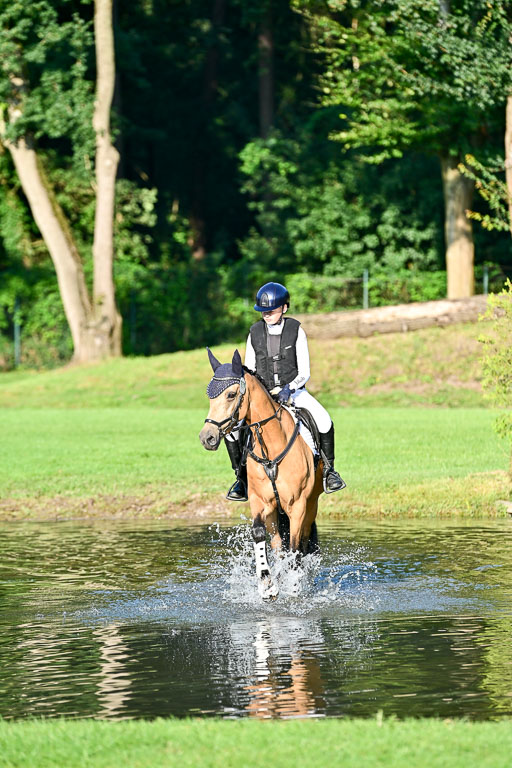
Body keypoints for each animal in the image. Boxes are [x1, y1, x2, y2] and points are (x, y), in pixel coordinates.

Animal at [199, 348, 324, 600]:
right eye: (209, 397)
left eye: (231, 394)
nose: (207, 437)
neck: (271, 446)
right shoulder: (260, 501)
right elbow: (259, 534)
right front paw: (267, 584)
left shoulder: (298, 505)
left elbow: (295, 546)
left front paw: (294, 588)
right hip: (275, 512)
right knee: (278, 545)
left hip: (311, 504)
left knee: (303, 543)